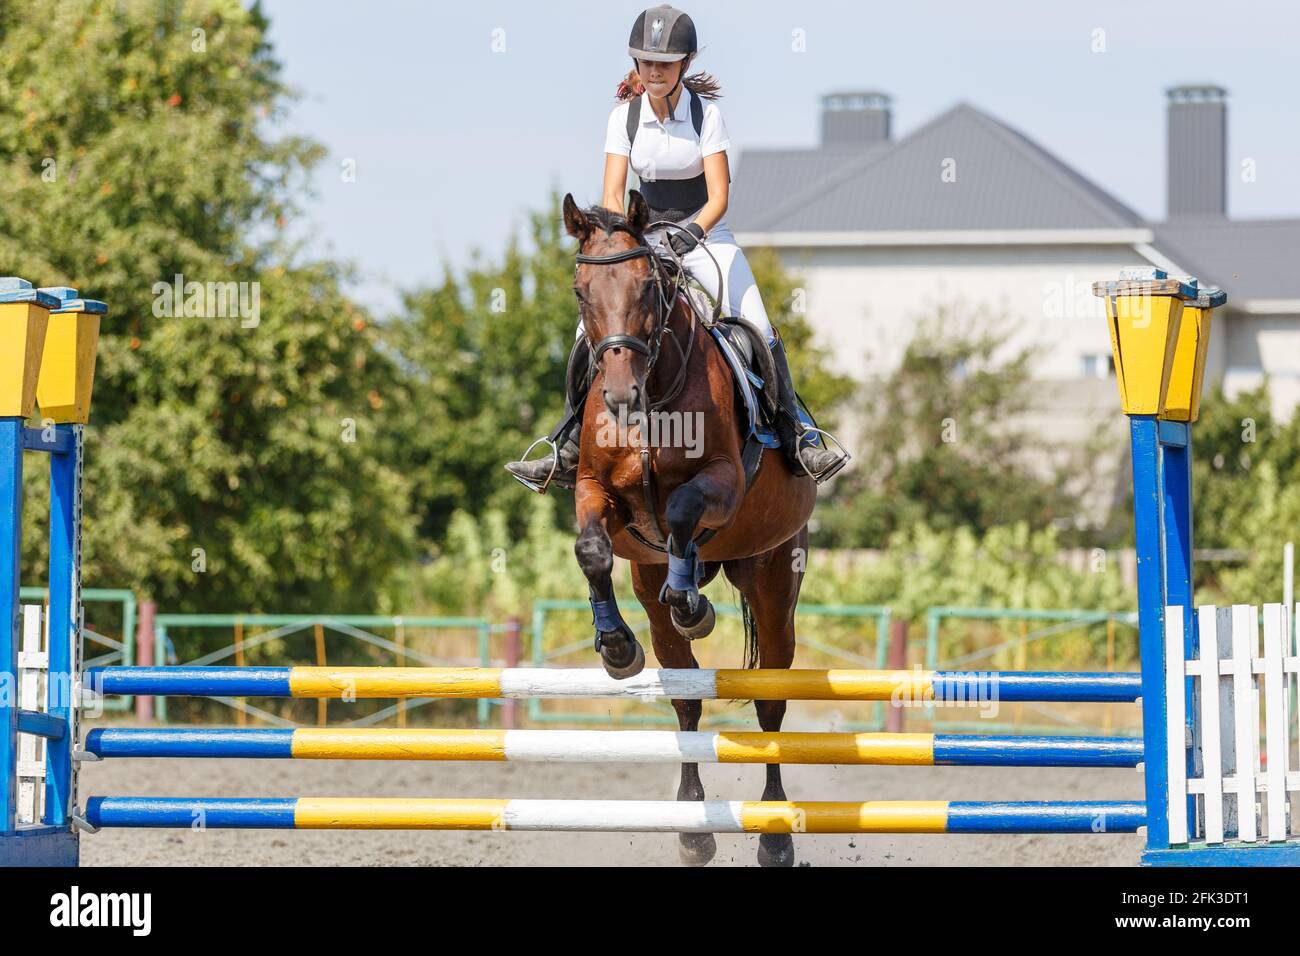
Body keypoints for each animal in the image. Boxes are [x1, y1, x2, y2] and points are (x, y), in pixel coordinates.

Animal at [564, 191, 816, 868]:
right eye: (581, 291)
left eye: (649, 288)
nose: (619, 396)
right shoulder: (594, 490)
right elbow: (591, 549)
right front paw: (616, 647)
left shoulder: (723, 483)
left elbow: (679, 511)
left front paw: (694, 608)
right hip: (651, 587)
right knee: (685, 699)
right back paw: (693, 829)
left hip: (774, 581)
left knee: (771, 704)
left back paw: (774, 837)